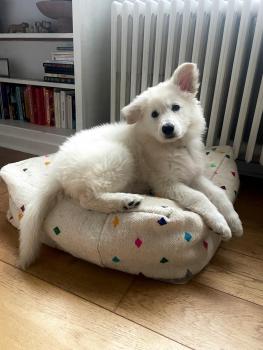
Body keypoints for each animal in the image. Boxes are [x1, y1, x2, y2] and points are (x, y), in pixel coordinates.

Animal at [19, 62, 244, 268]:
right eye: (154, 114)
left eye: (176, 107)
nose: (167, 128)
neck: (175, 147)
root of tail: (57, 169)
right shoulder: (166, 184)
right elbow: (200, 197)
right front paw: (221, 225)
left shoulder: (194, 176)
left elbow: (218, 194)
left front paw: (234, 222)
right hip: (119, 157)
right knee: (87, 198)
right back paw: (126, 201)